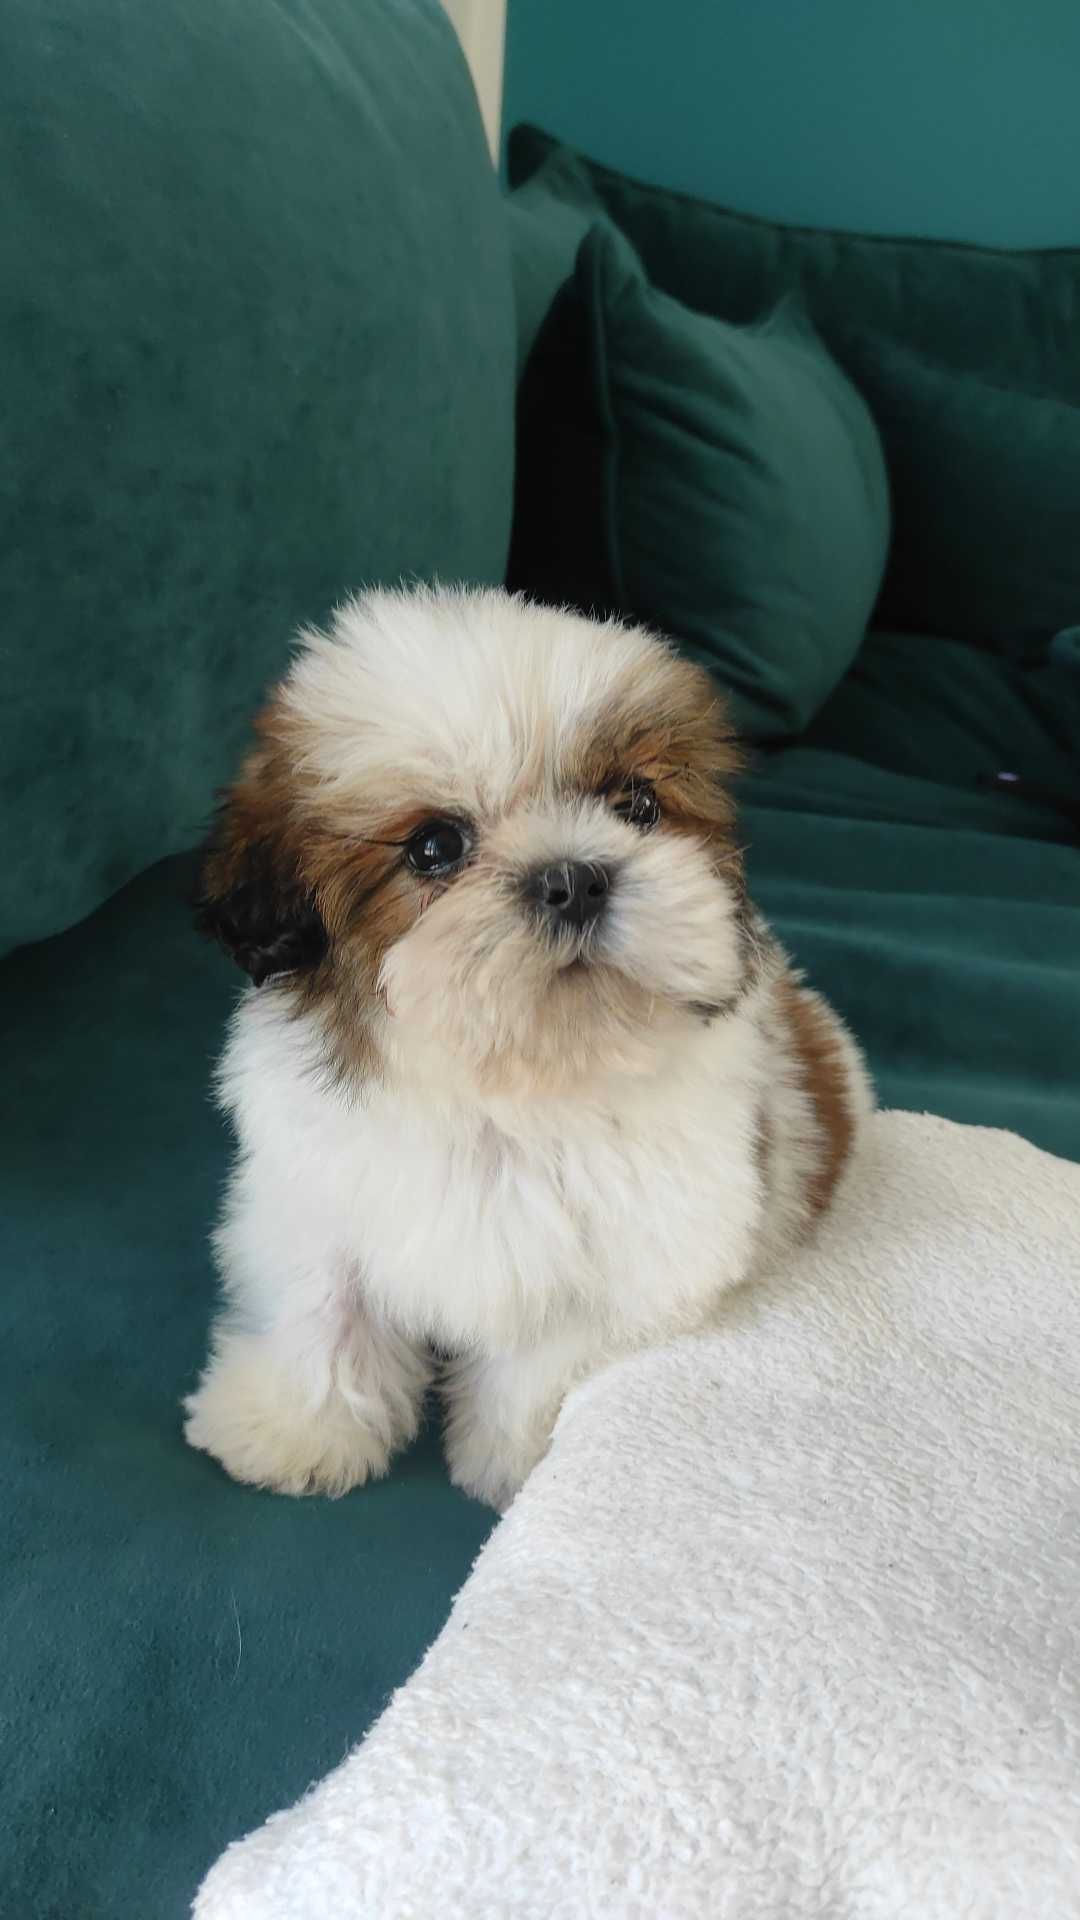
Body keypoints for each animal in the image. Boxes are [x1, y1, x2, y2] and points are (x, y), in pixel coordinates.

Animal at [184, 587, 868, 1512]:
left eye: (638, 806)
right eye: (434, 847)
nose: (573, 877)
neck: (507, 1083)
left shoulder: (630, 1258)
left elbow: (540, 1364)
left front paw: (514, 1470)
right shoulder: (316, 1194)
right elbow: (322, 1310)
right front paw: (297, 1430)